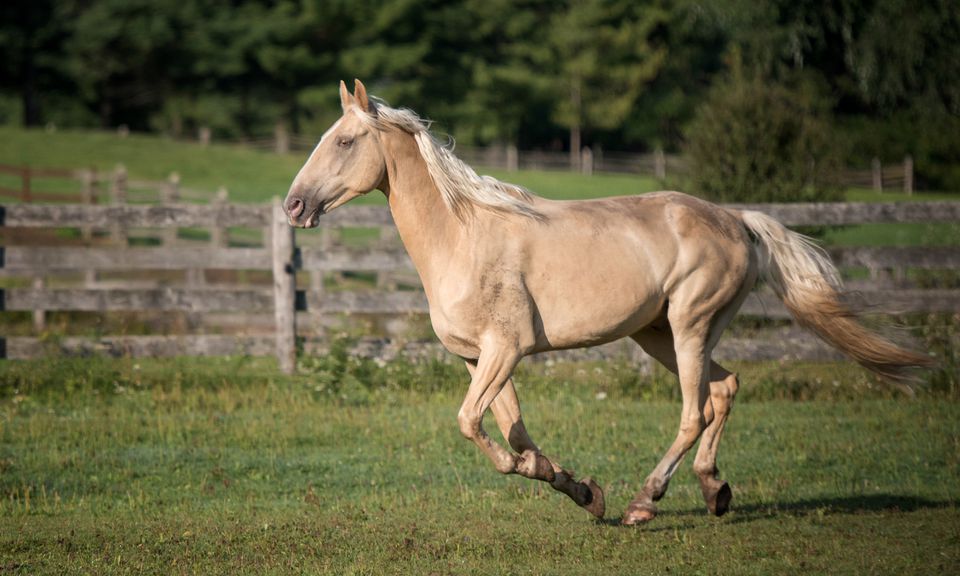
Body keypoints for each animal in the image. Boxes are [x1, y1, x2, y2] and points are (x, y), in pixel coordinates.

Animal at [282, 81, 928, 528]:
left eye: (344, 141)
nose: (293, 205)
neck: (462, 235)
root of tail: (737, 220)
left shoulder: (505, 350)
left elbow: (474, 426)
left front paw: (567, 484)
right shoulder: (478, 359)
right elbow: (514, 432)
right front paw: (580, 489)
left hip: (689, 325)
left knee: (694, 410)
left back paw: (646, 503)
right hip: (657, 333)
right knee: (725, 389)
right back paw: (713, 492)